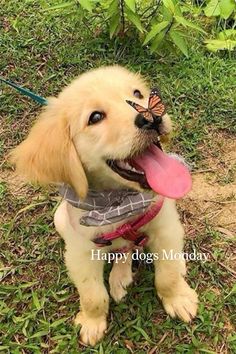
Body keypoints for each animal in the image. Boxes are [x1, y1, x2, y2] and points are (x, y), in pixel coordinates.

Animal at [11, 65, 199, 346]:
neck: (118, 204)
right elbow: (92, 295)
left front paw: (178, 298)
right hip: (60, 219)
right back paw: (119, 277)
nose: (151, 118)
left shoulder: (165, 226)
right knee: (122, 251)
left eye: (137, 94)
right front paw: (92, 322)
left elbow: (166, 275)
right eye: (96, 117)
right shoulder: (81, 252)